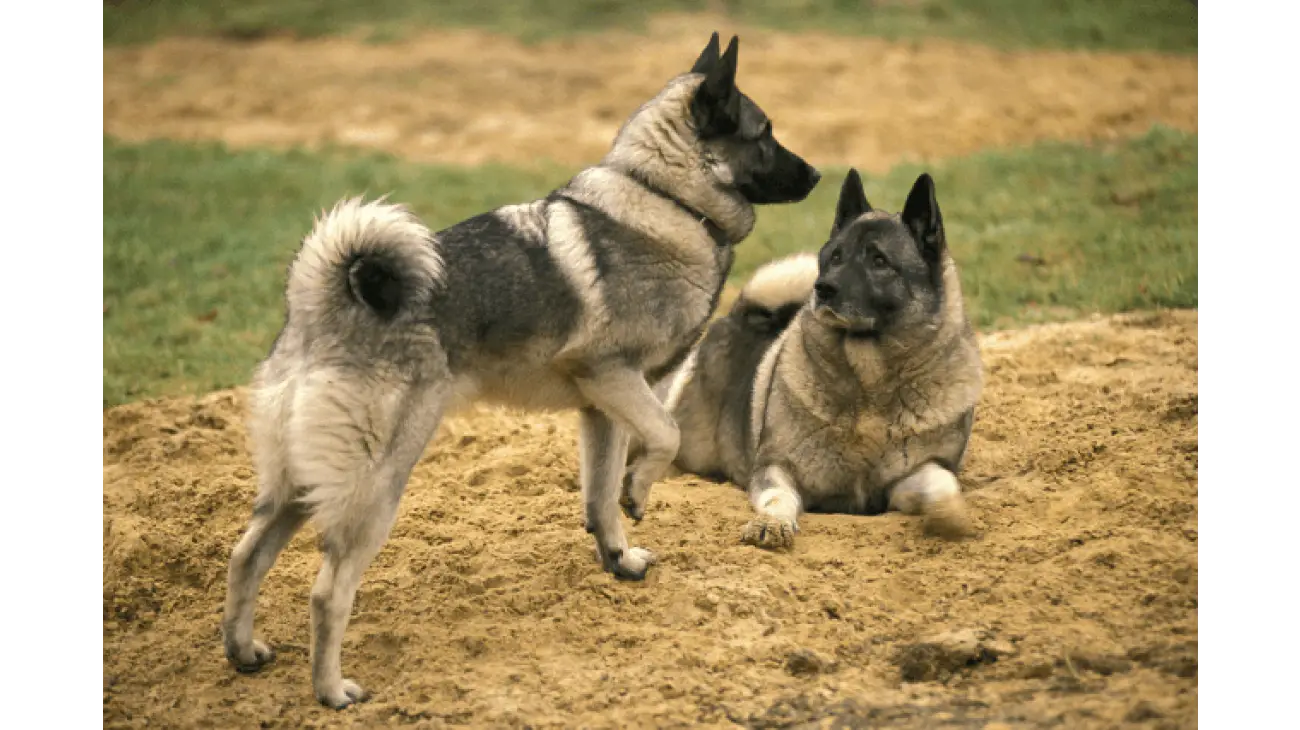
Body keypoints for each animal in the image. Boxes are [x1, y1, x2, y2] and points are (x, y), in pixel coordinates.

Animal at [218, 32, 816, 706]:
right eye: (765, 133)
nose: (817, 174)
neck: (667, 199)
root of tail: (320, 305)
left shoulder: (601, 409)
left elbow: (598, 497)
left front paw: (618, 559)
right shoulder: (615, 377)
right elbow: (663, 437)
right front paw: (639, 493)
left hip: (297, 483)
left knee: (246, 557)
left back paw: (243, 651)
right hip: (375, 484)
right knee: (326, 593)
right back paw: (332, 689)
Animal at [644, 167, 977, 548]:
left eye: (879, 260)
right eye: (835, 257)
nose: (823, 288)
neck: (870, 384)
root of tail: (740, 314)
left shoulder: (908, 479)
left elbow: (941, 482)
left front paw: (950, 515)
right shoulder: (776, 468)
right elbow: (779, 498)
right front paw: (771, 524)